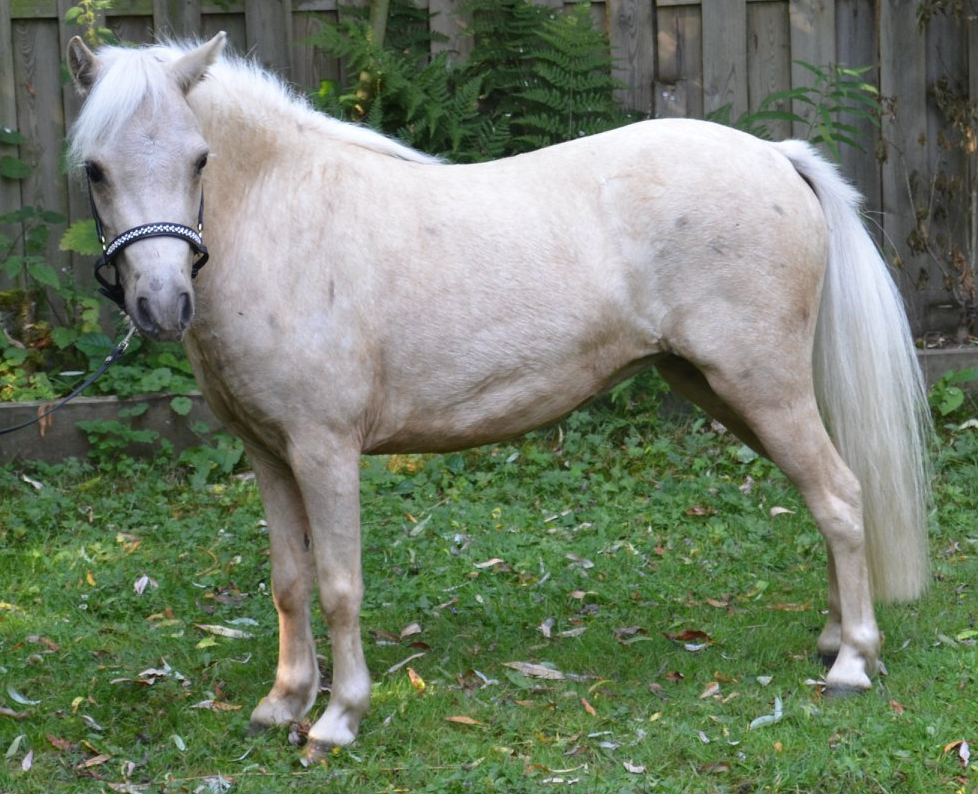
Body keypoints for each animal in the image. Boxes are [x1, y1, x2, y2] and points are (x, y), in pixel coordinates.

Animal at [65, 33, 931, 759]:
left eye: (200, 159)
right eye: (95, 169)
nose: (162, 305)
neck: (288, 218)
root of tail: (777, 156)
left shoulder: (324, 451)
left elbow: (340, 584)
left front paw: (339, 717)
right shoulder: (268, 455)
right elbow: (288, 583)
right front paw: (282, 704)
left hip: (763, 389)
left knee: (841, 498)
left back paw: (853, 662)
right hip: (729, 392)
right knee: (827, 498)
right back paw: (835, 638)